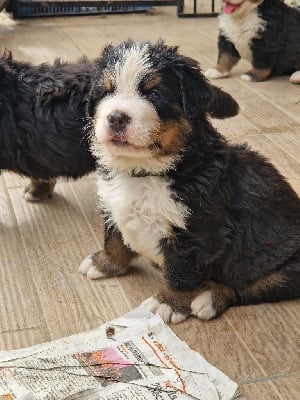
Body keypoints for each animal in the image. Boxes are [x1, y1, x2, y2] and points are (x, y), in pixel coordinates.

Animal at [79, 39, 300, 324]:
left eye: (154, 94)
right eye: (106, 92)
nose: (116, 117)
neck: (147, 171)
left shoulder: (195, 232)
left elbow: (181, 272)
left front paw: (168, 304)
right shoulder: (113, 205)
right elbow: (114, 239)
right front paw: (104, 263)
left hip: (286, 267)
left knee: (246, 287)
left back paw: (209, 299)